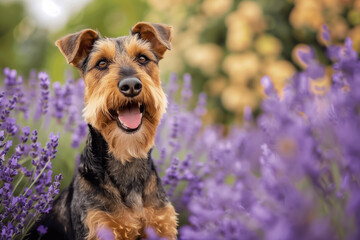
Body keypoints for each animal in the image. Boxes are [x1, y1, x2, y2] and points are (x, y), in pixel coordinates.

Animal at [28, 21, 179, 239]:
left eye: (142, 58)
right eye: (101, 63)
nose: (131, 85)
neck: (127, 158)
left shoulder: (162, 225)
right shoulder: (100, 226)